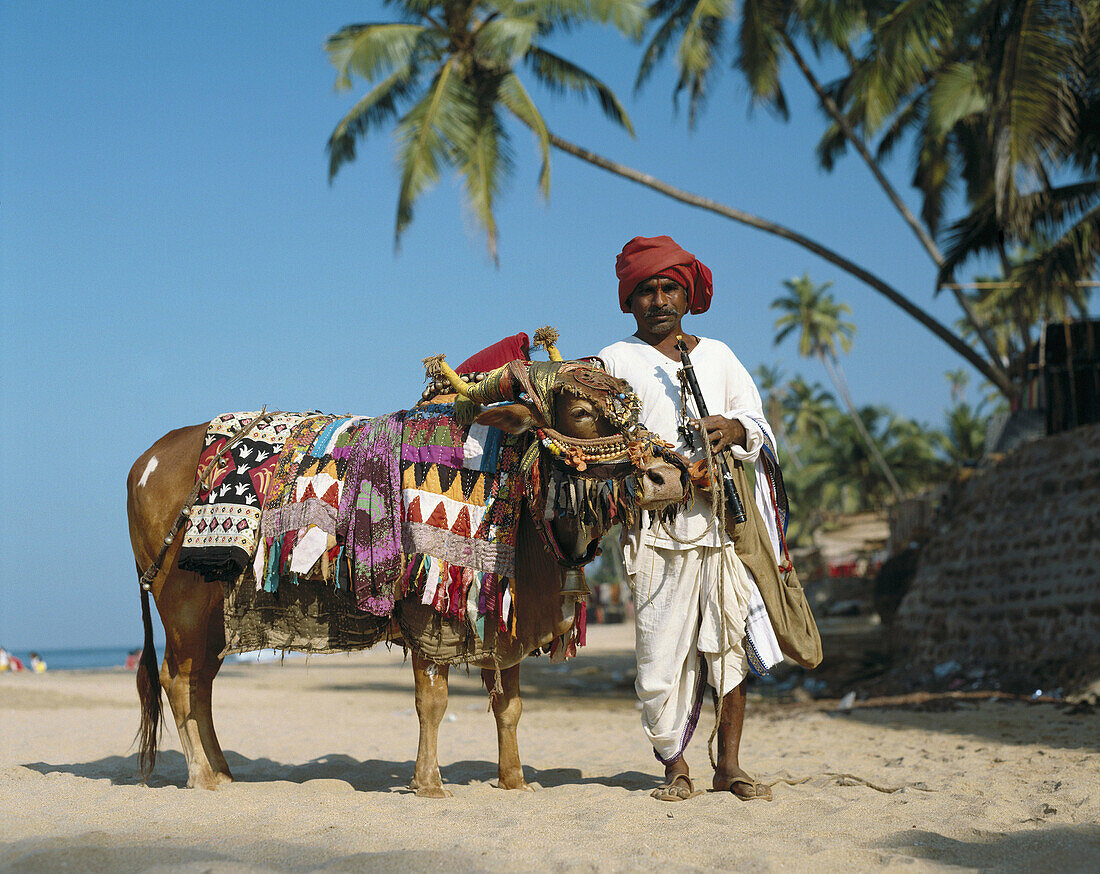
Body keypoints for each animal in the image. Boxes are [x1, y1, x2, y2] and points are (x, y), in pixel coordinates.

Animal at [128, 336, 686, 800]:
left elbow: (510, 707)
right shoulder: (428, 615)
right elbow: (432, 701)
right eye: (582, 410)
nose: (668, 476)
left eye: (628, 404)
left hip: (211, 618)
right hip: (182, 604)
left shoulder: (504, 623)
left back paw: (222, 771)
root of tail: (147, 459)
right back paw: (201, 776)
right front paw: (429, 783)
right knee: (177, 681)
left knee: (201, 684)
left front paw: (514, 780)